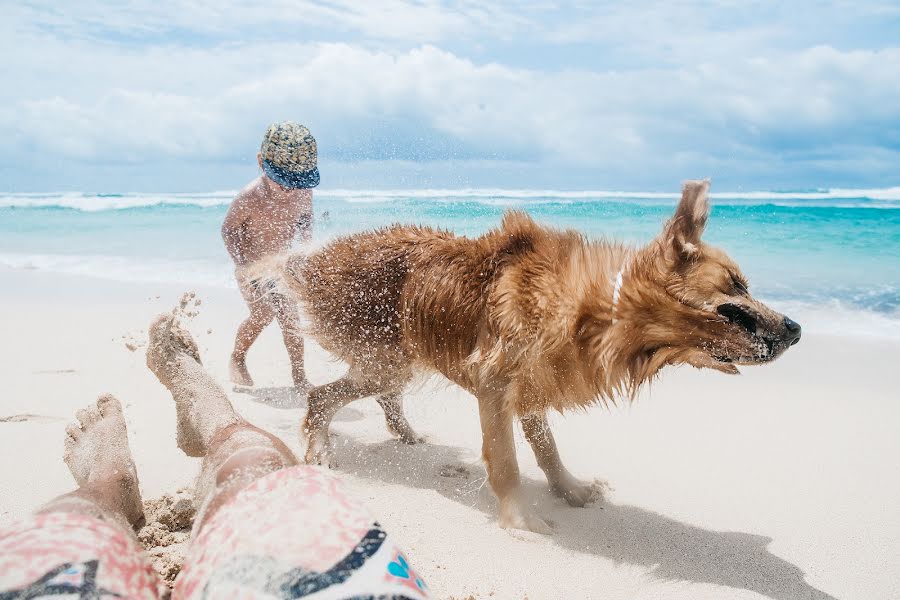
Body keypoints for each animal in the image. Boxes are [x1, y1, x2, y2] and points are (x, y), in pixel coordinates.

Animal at [280, 180, 800, 532]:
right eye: (737, 285)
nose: (796, 330)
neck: (601, 311)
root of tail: (317, 260)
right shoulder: (494, 384)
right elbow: (507, 462)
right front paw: (521, 521)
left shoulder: (533, 385)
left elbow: (548, 450)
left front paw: (569, 490)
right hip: (387, 359)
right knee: (322, 396)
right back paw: (319, 448)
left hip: (396, 361)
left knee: (372, 395)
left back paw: (404, 434)